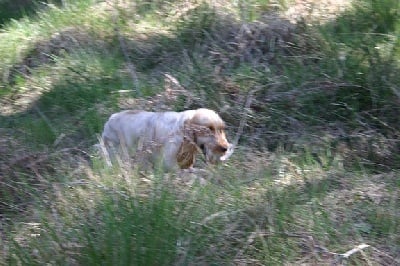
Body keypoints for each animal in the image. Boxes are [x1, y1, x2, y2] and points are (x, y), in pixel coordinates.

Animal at [101, 108, 233, 170]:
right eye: (209, 129)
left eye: (221, 129)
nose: (225, 148)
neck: (183, 128)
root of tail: (109, 120)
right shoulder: (168, 162)